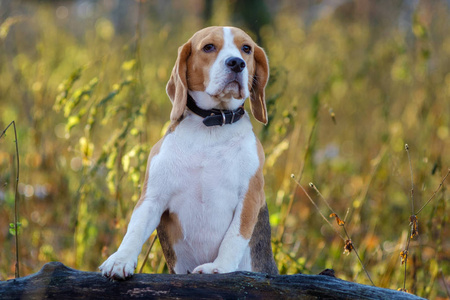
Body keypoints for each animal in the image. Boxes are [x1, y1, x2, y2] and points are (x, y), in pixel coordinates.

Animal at [99, 25, 278, 278]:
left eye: (246, 48)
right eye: (209, 47)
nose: (237, 63)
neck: (211, 127)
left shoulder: (250, 197)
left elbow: (234, 237)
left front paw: (219, 267)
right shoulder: (152, 197)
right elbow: (134, 229)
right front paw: (120, 260)